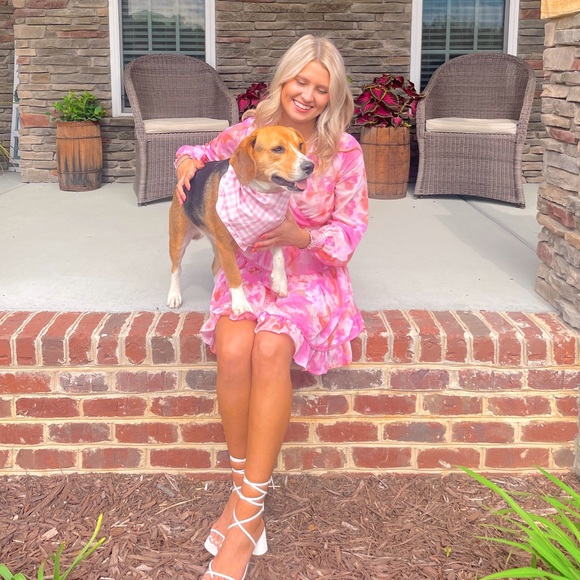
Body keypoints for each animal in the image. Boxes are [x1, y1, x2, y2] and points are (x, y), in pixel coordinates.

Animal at [167, 125, 314, 314]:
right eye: (278, 149)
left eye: (300, 145)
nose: (310, 166)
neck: (262, 194)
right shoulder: (225, 246)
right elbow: (234, 274)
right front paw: (240, 304)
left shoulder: (275, 231)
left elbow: (279, 257)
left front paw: (280, 282)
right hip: (179, 240)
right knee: (176, 269)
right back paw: (174, 295)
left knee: (215, 267)